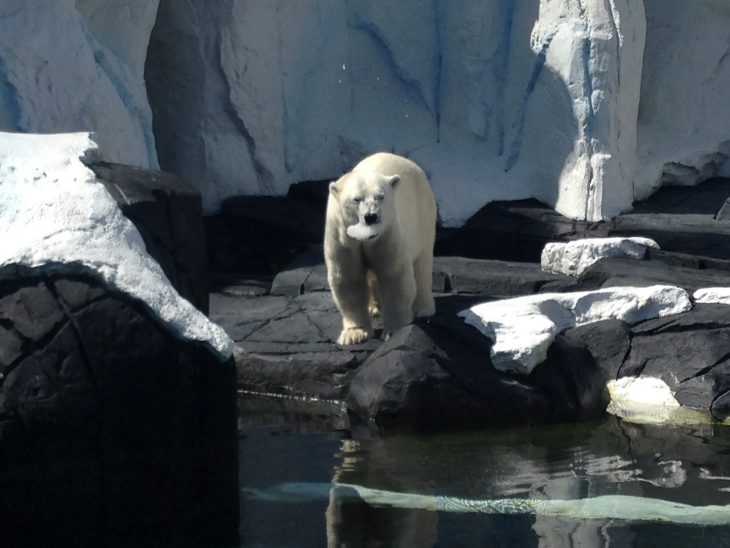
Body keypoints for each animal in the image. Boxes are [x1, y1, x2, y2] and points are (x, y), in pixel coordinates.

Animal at [322, 152, 432, 344]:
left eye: (381, 196)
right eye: (356, 199)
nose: (371, 217)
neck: (365, 238)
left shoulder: (388, 233)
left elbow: (394, 275)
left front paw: (394, 330)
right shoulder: (342, 238)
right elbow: (349, 278)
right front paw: (354, 334)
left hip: (423, 215)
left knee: (422, 263)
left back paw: (423, 308)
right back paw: (374, 308)